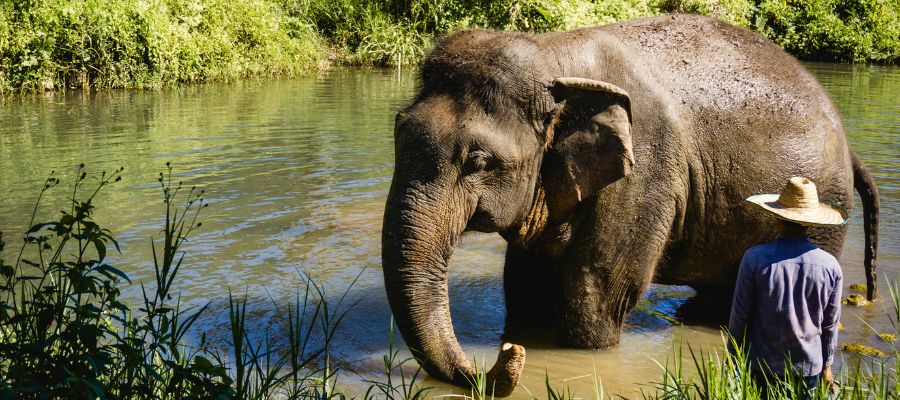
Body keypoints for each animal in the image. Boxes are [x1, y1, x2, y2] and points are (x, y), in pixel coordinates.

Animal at [381, 14, 880, 396]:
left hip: (825, 213)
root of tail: (849, 146)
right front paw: (525, 337)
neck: (555, 57)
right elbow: (525, 285)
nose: (504, 358)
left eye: (478, 161)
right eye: (398, 131)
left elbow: (593, 291)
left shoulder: (647, 171)